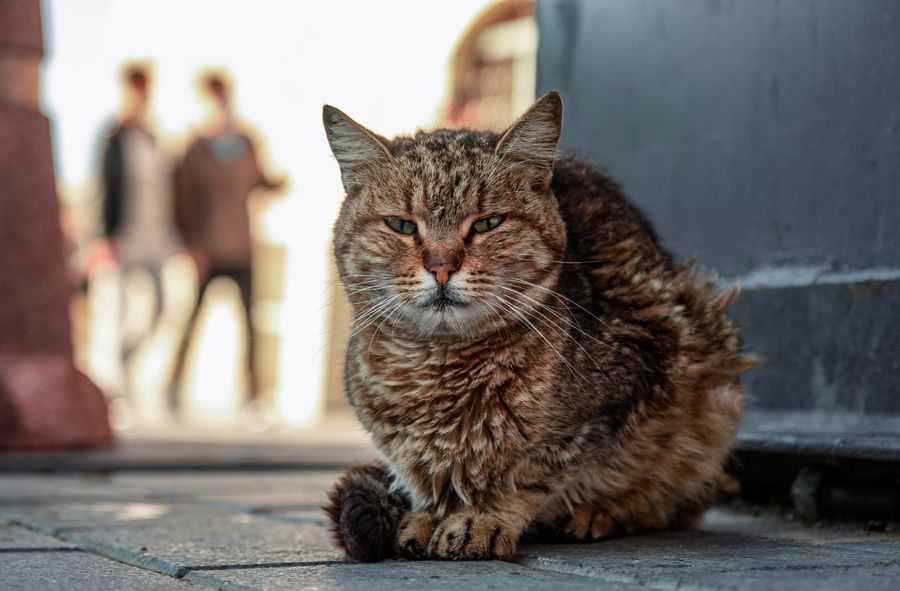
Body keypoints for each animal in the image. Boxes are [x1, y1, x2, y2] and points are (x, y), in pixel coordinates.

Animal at [320, 92, 756, 564]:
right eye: (400, 225)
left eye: (487, 223)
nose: (441, 266)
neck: (436, 368)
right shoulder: (394, 443)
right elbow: (422, 477)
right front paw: (425, 515)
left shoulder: (623, 389)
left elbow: (530, 473)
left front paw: (482, 518)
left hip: (711, 376)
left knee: (675, 500)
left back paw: (596, 514)